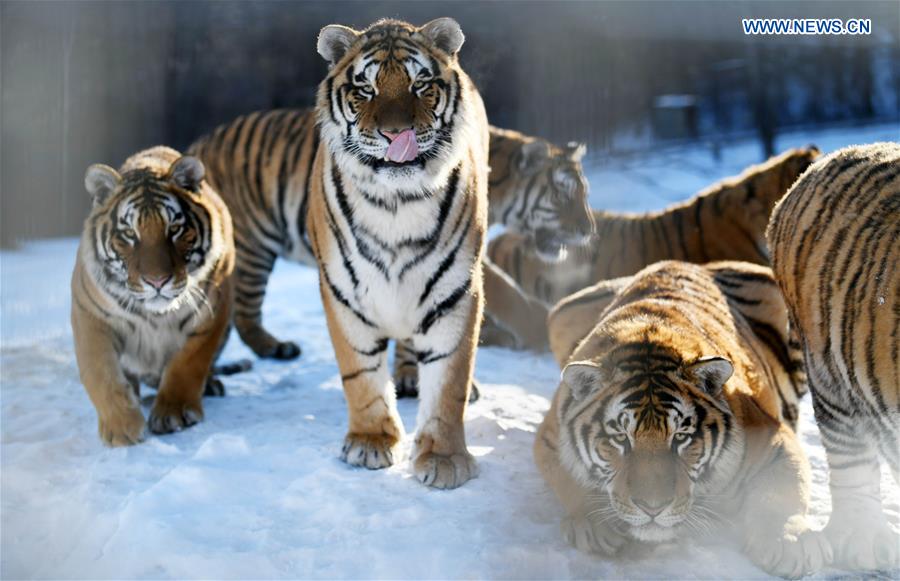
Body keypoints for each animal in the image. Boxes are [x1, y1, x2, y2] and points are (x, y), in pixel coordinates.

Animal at [71, 146, 235, 446]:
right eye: (128, 233)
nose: (157, 280)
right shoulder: (90, 316)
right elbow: (101, 373)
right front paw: (122, 427)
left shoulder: (212, 311)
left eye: (175, 229)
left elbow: (188, 363)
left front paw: (174, 414)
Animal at [301, 17, 490, 489]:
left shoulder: (455, 290)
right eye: (365, 89)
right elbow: (360, 375)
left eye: (419, 83)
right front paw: (370, 441)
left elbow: (449, 379)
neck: (396, 204)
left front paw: (444, 459)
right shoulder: (342, 291)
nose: (395, 134)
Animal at [534, 260, 828, 578]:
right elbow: (570, 479)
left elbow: (783, 493)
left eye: (681, 437)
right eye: (621, 438)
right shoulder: (551, 436)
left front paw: (790, 542)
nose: (652, 508)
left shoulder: (773, 437)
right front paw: (594, 526)